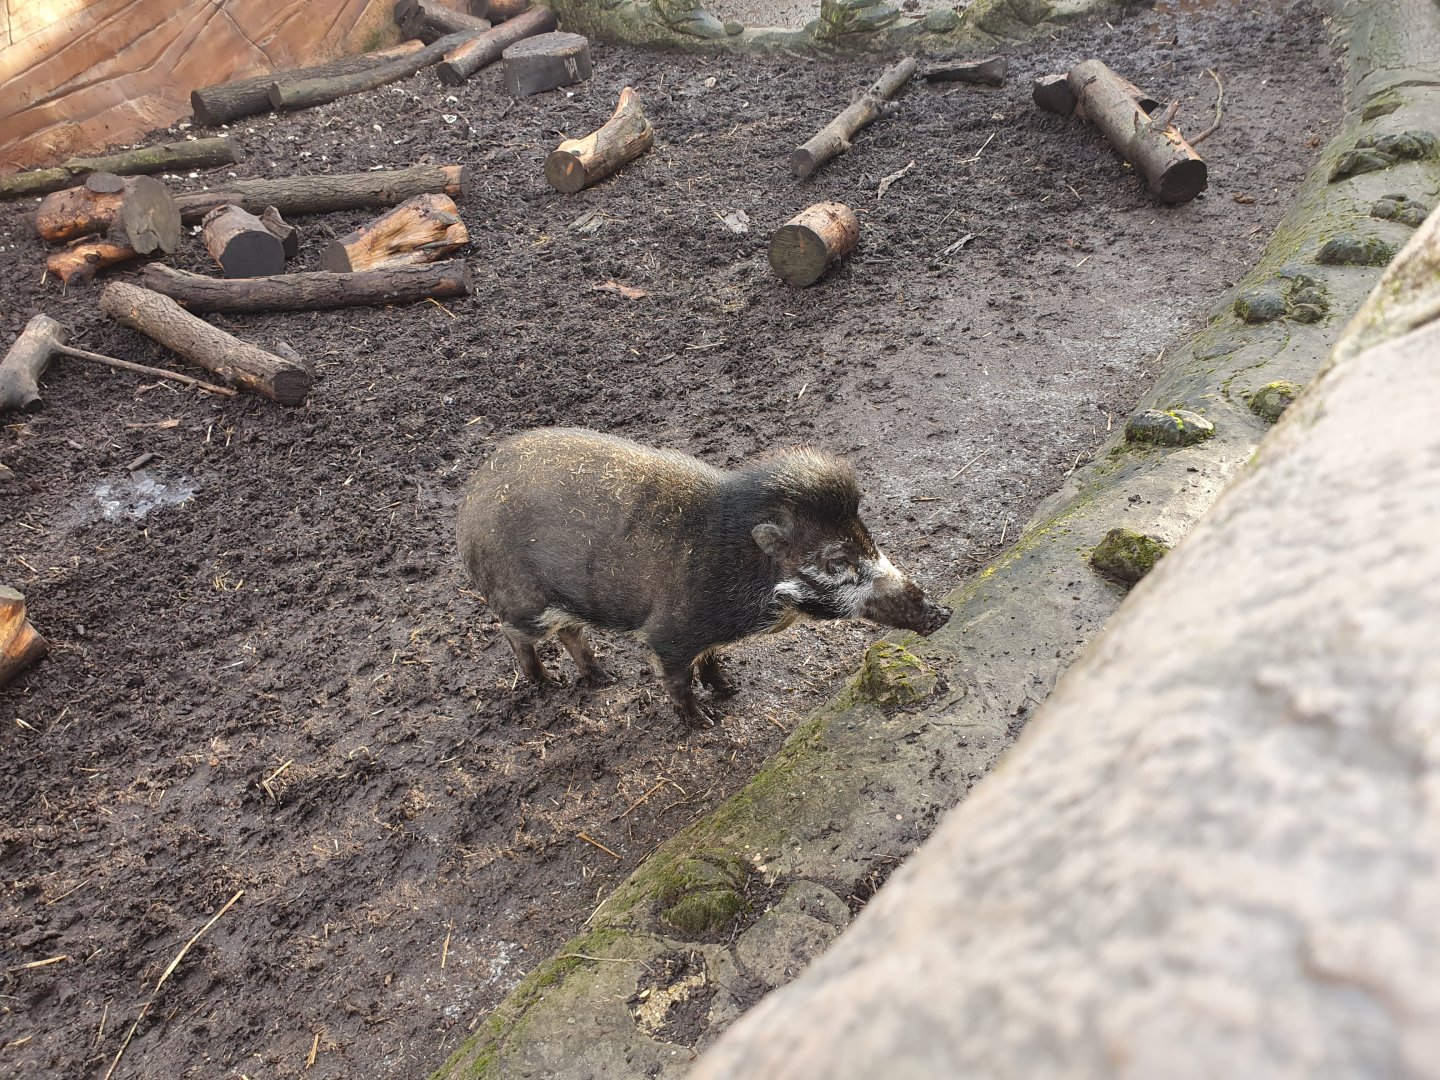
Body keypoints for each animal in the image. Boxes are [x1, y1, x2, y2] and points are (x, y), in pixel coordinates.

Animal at [456, 427, 950, 725]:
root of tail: (470, 498)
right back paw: (548, 684)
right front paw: (704, 721)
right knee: (514, 634)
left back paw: (605, 679)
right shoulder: (668, 635)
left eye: (868, 537)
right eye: (836, 561)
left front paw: (731, 691)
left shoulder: (705, 636)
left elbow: (710, 661)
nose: (941, 613)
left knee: (571, 633)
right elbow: (679, 680)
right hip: (522, 600)